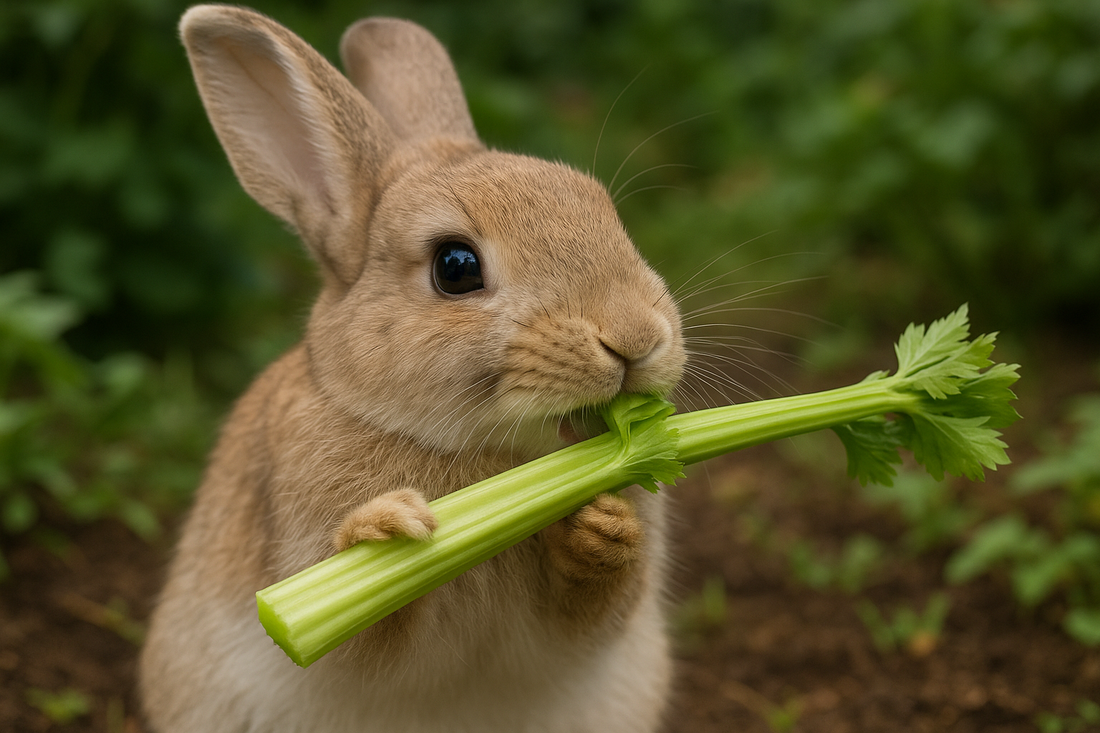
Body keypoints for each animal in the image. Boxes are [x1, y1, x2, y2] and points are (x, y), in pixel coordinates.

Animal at [139, 5, 686, 733]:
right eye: (455, 267)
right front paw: (385, 530)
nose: (635, 339)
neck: (487, 457)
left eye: (604, 212)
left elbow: (596, 606)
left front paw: (606, 528)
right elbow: (369, 634)